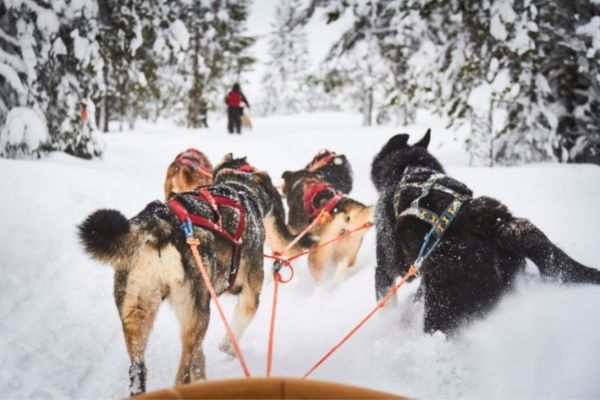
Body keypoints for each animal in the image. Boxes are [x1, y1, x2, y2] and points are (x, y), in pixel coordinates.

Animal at [77, 155, 312, 396]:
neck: (239, 188)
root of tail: (160, 224)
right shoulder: (250, 295)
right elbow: (237, 326)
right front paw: (228, 347)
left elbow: (200, 358)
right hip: (197, 313)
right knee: (184, 368)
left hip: (137, 313)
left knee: (139, 370)